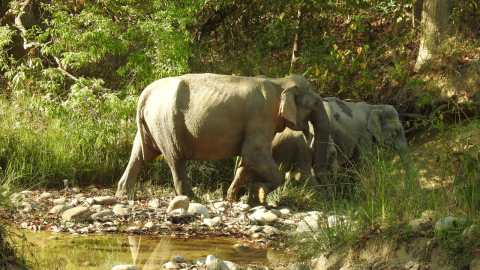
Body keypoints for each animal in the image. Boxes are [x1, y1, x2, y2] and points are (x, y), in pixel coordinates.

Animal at [114, 73, 330, 206]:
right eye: (316, 104)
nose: (329, 196)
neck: (280, 82)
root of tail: (145, 93)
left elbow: (248, 160)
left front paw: (244, 200)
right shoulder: (262, 116)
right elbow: (254, 154)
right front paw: (260, 194)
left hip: (153, 123)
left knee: (140, 153)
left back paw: (125, 195)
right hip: (167, 122)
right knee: (175, 158)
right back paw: (193, 198)